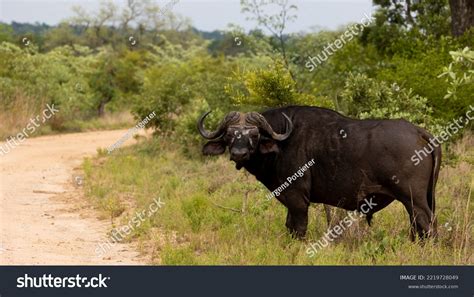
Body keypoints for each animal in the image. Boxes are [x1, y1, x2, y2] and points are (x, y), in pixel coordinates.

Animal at [197, 105, 440, 239]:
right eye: (230, 135)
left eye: (254, 135)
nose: (238, 153)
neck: (282, 143)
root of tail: (419, 131)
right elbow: (289, 226)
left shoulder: (297, 199)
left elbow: (298, 228)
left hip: (414, 200)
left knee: (427, 225)